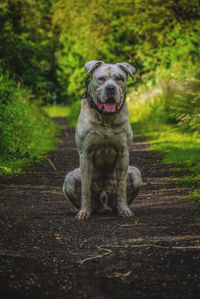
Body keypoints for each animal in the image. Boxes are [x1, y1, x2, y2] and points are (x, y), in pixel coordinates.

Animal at [63, 61, 141, 220]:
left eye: (119, 78)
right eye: (101, 79)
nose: (110, 88)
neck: (106, 117)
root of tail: (104, 205)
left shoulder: (123, 153)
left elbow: (122, 187)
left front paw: (124, 210)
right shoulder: (86, 154)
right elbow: (85, 189)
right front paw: (84, 212)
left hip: (136, 173)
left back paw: (117, 208)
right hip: (69, 179)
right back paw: (87, 209)